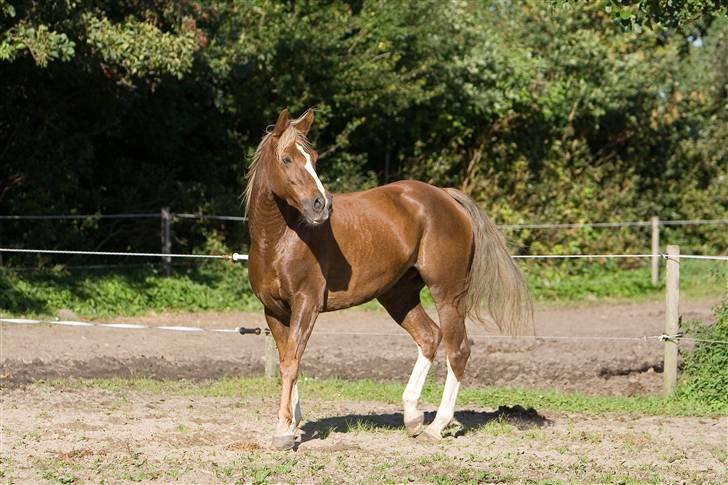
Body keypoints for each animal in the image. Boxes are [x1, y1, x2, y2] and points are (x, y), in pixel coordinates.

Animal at [247, 108, 532, 448]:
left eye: (313, 158)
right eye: (287, 159)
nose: (321, 205)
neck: (279, 241)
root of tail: (445, 197)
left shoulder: (307, 304)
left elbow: (292, 362)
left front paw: (282, 431)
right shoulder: (274, 310)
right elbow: (287, 360)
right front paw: (292, 424)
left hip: (447, 294)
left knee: (458, 349)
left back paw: (436, 426)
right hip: (398, 296)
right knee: (429, 337)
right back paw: (412, 418)